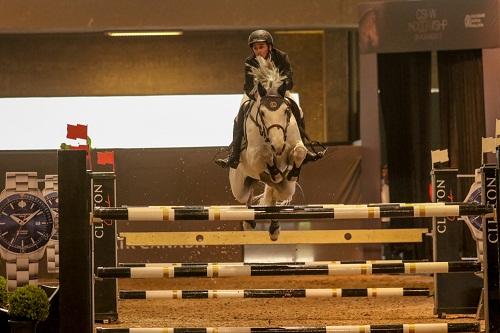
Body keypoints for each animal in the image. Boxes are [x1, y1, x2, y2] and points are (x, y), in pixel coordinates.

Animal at [229, 56, 306, 239]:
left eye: (286, 111)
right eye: (262, 113)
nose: (277, 145)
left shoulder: (294, 146)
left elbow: (300, 151)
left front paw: (291, 173)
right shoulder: (253, 157)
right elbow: (264, 154)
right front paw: (274, 171)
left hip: (287, 188)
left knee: (278, 195)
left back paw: (274, 227)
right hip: (239, 186)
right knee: (247, 196)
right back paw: (249, 221)